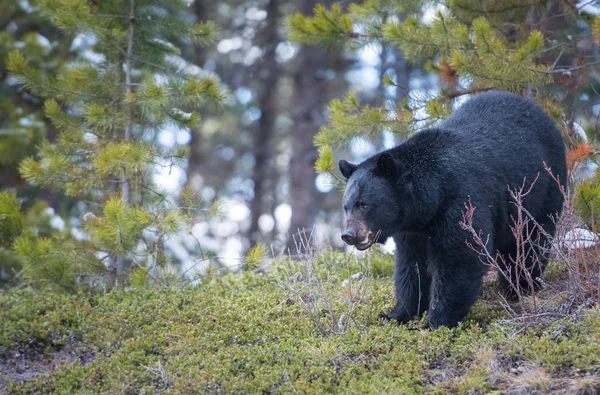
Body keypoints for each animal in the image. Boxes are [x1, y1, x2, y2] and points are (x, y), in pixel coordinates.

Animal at [340, 91, 564, 330]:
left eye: (365, 204)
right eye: (346, 207)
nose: (349, 235)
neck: (431, 198)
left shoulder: (461, 200)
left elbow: (459, 258)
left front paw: (435, 322)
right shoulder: (411, 228)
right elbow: (411, 266)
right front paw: (397, 314)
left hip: (544, 189)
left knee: (531, 241)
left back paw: (520, 286)